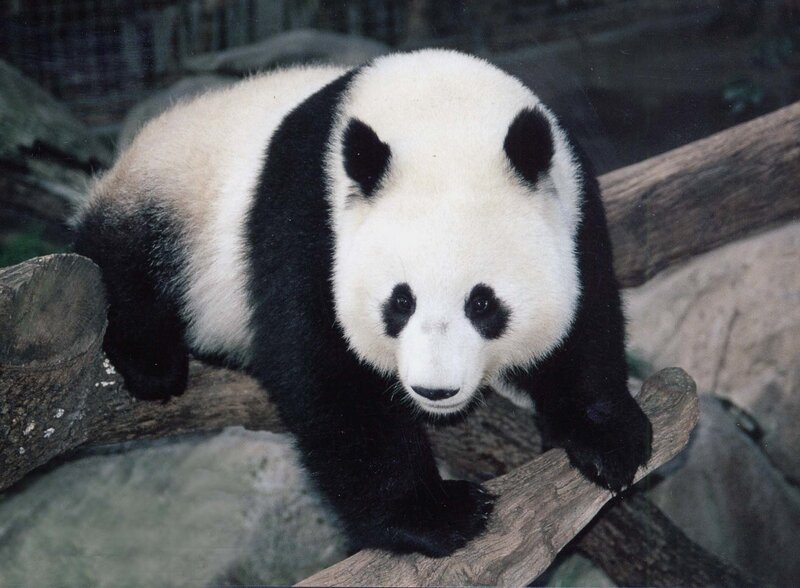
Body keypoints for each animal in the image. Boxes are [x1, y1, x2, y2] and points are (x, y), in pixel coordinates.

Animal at [74, 49, 652, 557]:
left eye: (483, 304)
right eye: (400, 301)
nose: (435, 390)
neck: (441, 118)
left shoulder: (574, 204)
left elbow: (587, 316)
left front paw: (609, 438)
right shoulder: (309, 219)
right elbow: (328, 373)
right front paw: (437, 514)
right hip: (176, 194)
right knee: (124, 258)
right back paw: (153, 362)